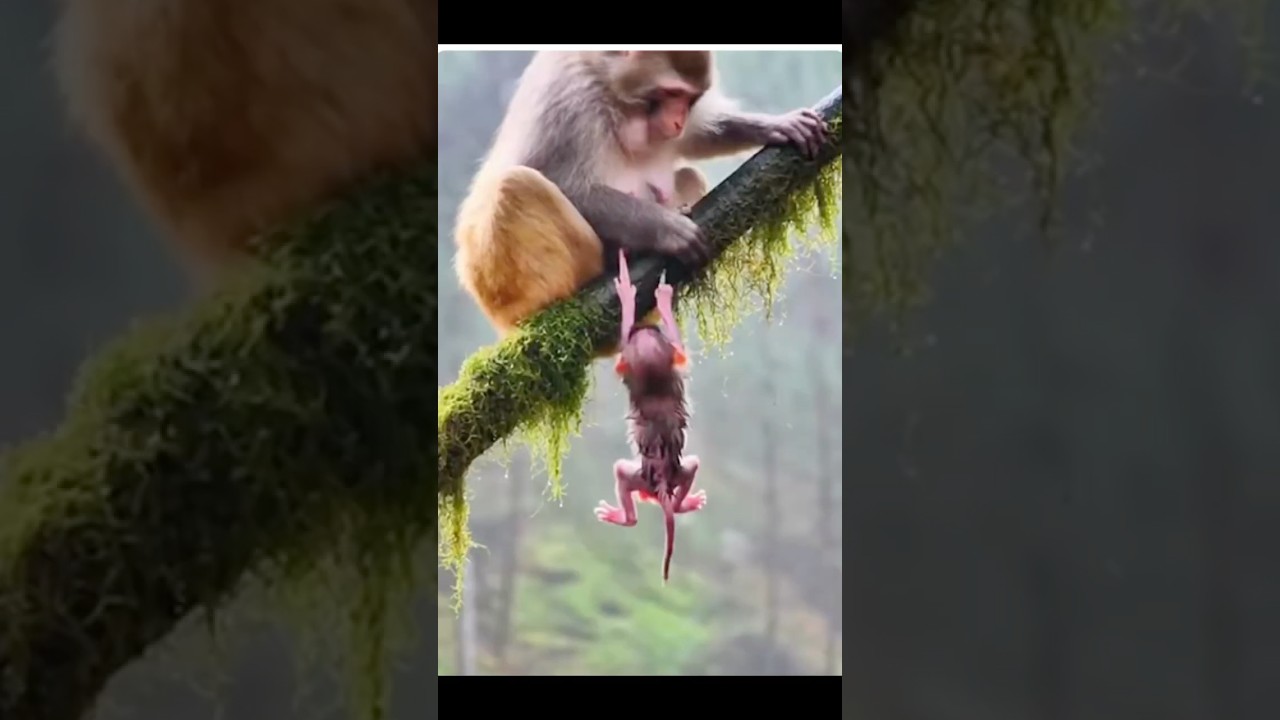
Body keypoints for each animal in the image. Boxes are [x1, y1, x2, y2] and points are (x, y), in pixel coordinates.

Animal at [453, 50, 830, 352]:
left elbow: (695, 137)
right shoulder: (569, 97)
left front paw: (774, 125)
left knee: (687, 175)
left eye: (690, 99)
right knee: (516, 186)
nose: (676, 120)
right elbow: (563, 182)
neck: (611, 92)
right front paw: (668, 230)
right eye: (671, 93)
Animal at [595, 249, 706, 584]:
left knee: (622, 478)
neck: (655, 384)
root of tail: (660, 491)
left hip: (636, 475)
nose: (645, 328)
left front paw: (630, 297)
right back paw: (683, 504)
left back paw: (623, 516)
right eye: (652, 334)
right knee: (691, 469)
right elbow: (679, 350)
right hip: (675, 472)